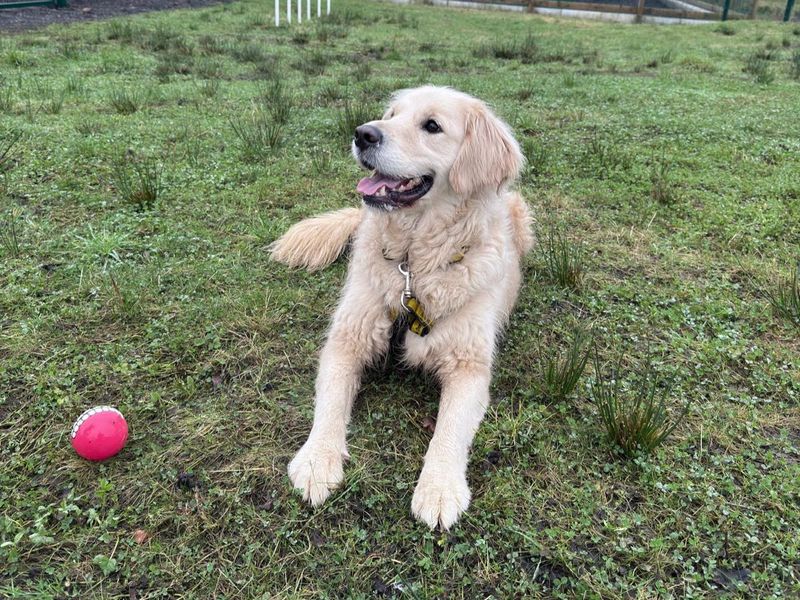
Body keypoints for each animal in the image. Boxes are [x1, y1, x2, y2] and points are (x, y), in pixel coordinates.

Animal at [272, 85, 536, 528]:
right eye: (391, 115)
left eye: (432, 126)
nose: (363, 134)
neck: (413, 263)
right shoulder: (347, 340)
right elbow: (329, 404)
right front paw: (317, 460)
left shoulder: (469, 367)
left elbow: (450, 428)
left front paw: (440, 487)